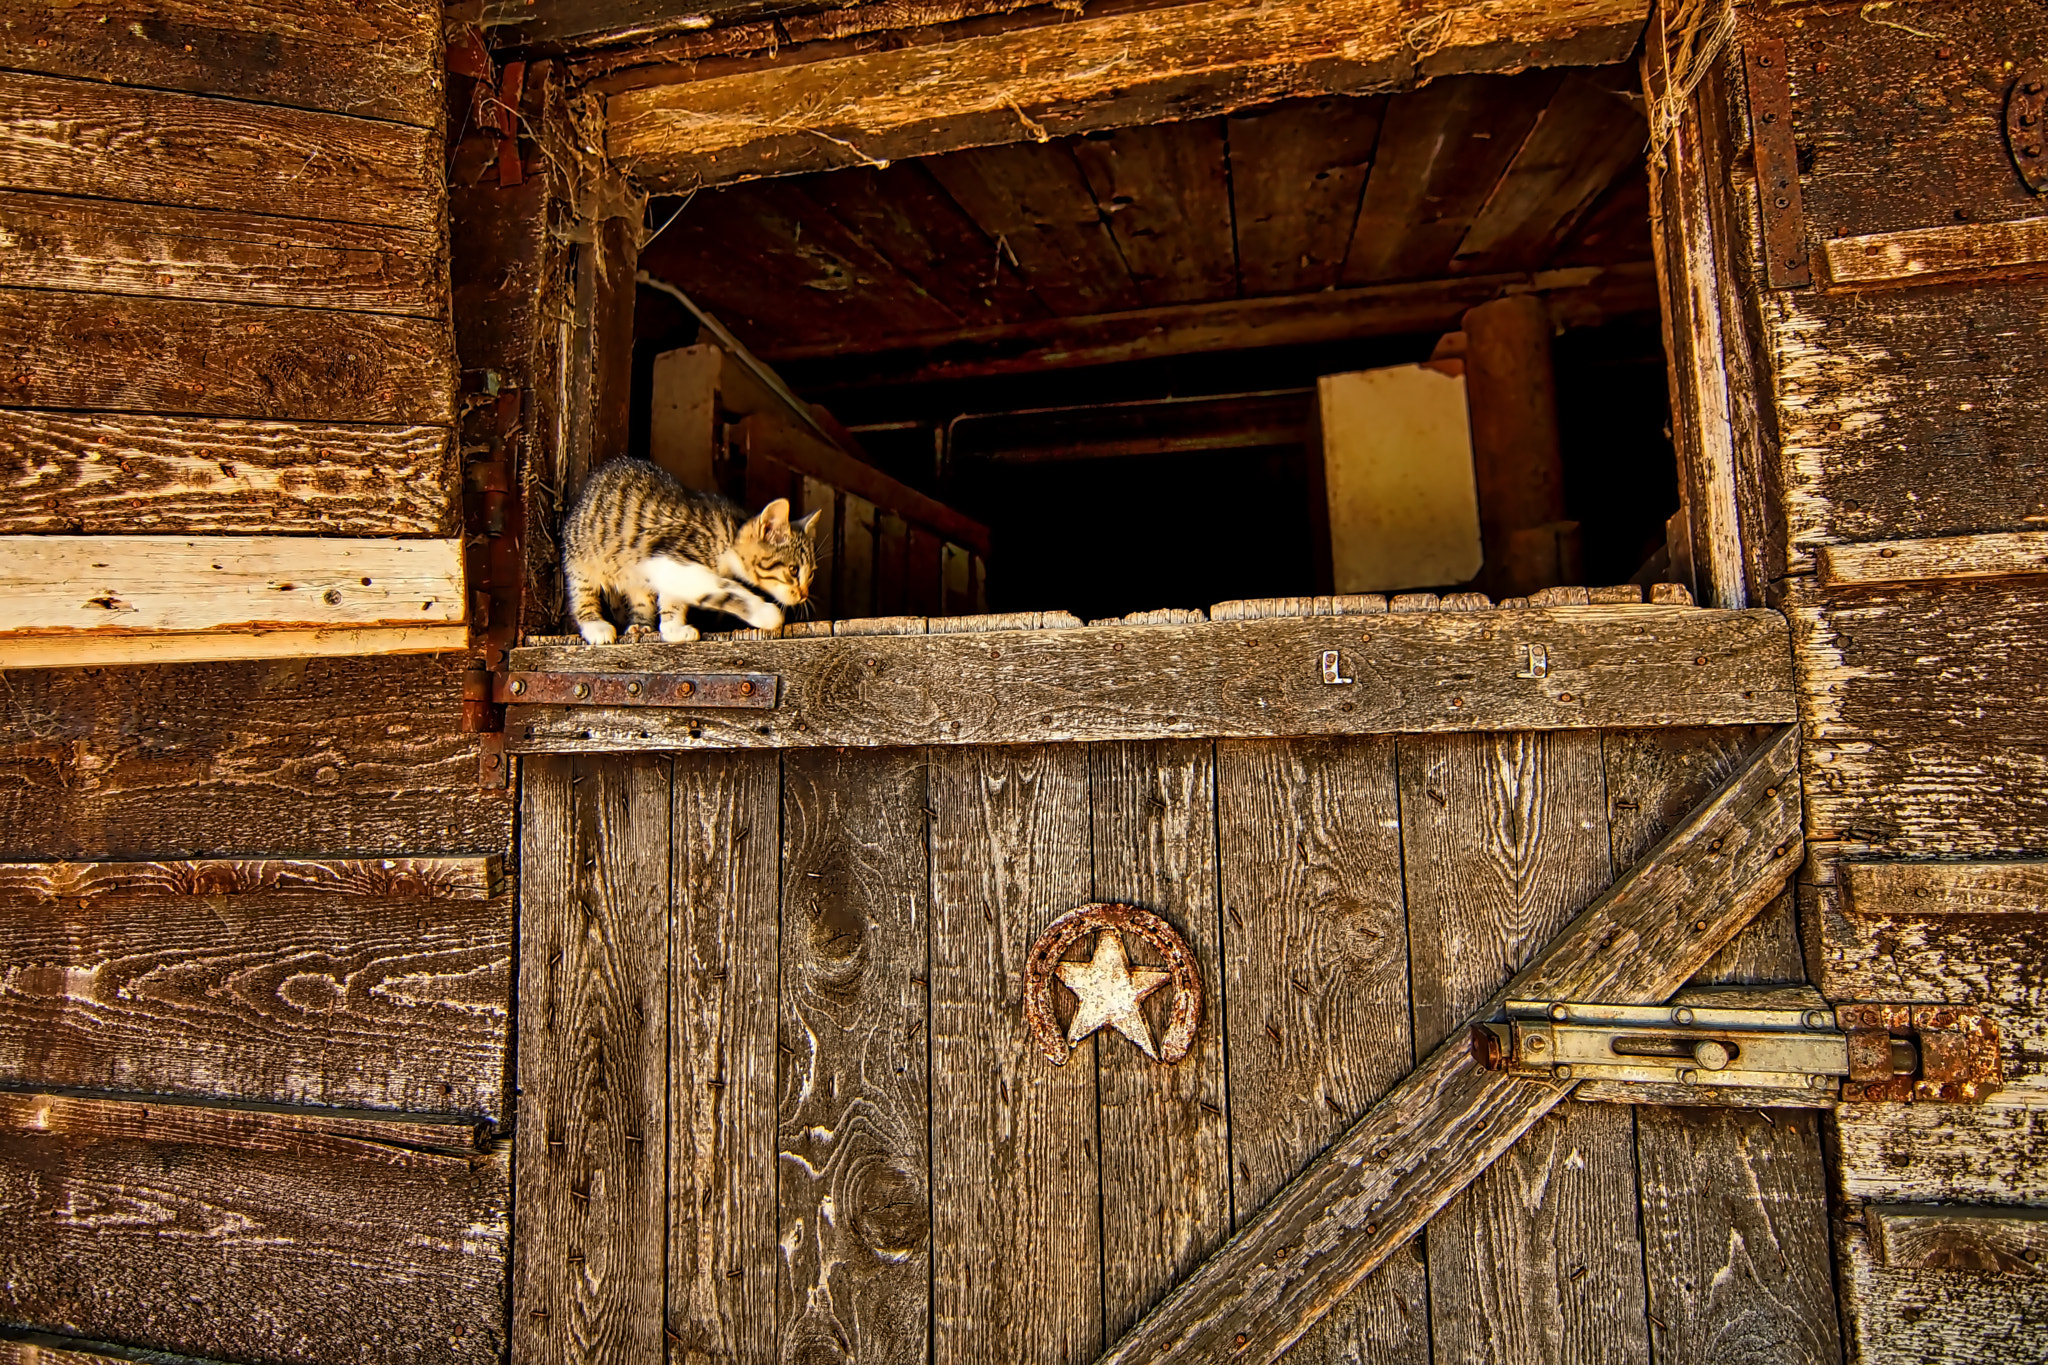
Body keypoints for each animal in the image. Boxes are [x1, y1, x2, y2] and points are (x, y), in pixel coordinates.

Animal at [565, 458, 819, 646]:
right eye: (793, 570)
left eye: (811, 574)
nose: (804, 595)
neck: (728, 534)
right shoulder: (672, 557)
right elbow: (723, 589)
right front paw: (766, 614)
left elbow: (673, 599)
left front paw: (672, 628)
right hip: (581, 558)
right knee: (582, 594)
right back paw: (595, 626)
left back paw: (641, 625)